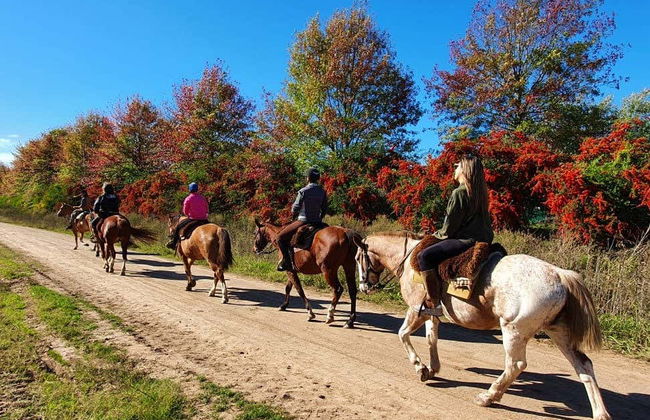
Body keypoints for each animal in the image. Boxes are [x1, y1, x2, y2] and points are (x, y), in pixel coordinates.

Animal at [354, 232, 611, 420]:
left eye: (357, 258)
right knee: (584, 366)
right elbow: (431, 338)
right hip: (559, 333)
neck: (410, 259)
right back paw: (600, 413)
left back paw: (488, 396)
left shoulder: (415, 309)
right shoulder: (431, 311)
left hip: (513, 331)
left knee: (515, 365)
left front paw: (421, 368)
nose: (364, 286)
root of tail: (559, 274)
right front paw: (433, 368)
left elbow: (403, 334)